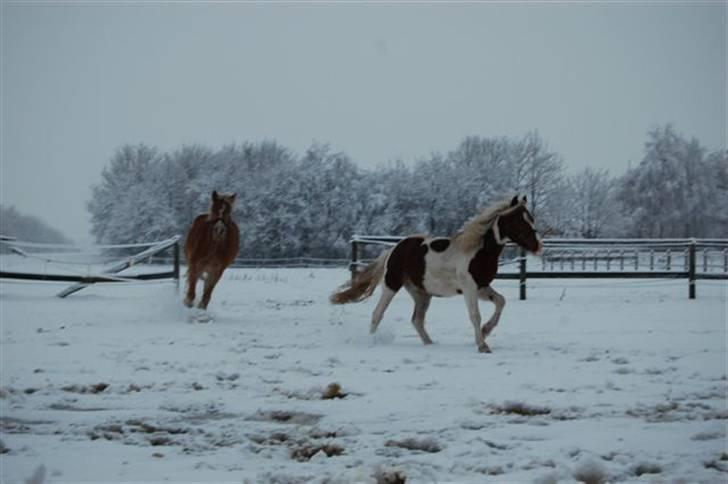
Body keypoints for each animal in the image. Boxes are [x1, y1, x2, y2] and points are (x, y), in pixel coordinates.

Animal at [332, 196, 544, 352]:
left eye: (531, 218)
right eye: (518, 221)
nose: (538, 246)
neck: (478, 250)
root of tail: (395, 248)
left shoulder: (482, 286)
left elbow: (500, 301)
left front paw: (485, 331)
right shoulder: (469, 287)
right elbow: (475, 315)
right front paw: (483, 345)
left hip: (421, 293)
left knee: (417, 320)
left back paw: (430, 344)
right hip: (391, 285)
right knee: (378, 313)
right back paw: (373, 341)